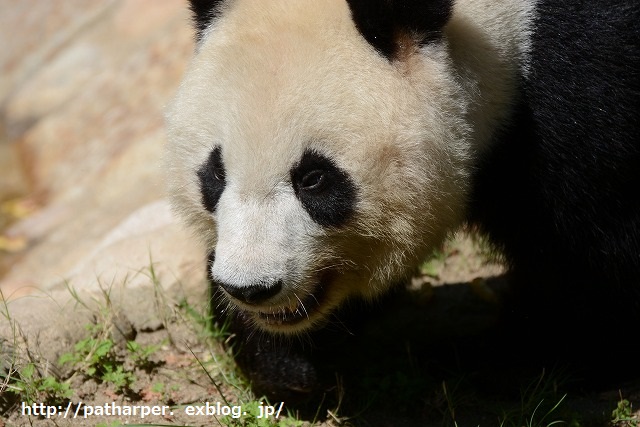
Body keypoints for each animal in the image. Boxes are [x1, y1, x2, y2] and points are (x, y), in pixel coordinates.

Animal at [168, 0, 640, 402]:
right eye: (216, 174)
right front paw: (291, 364)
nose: (250, 287)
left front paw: (518, 359)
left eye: (314, 179)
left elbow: (587, 261)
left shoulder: (584, 100)